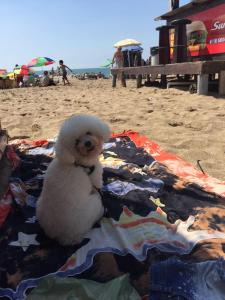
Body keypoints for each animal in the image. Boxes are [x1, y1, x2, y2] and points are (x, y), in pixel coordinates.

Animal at [36, 113, 110, 245]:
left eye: (88, 132)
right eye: (76, 142)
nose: (87, 143)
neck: (77, 162)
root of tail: (61, 237)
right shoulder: (96, 176)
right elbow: (98, 185)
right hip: (94, 206)